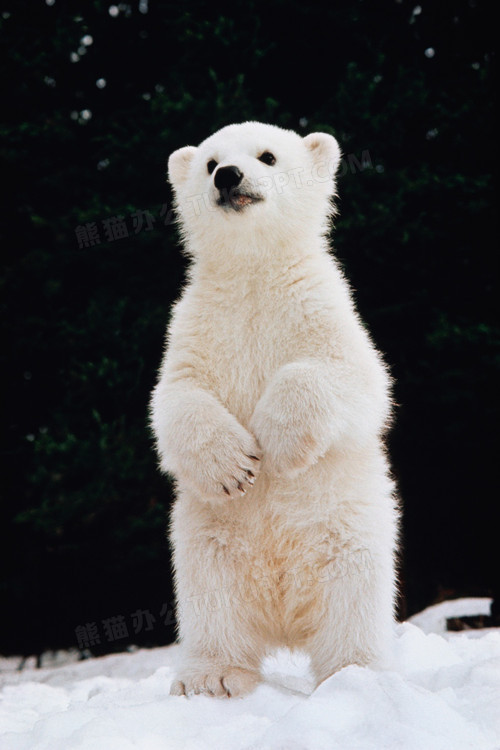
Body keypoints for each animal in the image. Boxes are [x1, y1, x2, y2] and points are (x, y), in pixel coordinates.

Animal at [150, 120, 400, 704]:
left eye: (267, 155)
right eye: (210, 161)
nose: (228, 176)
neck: (254, 275)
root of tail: (286, 622)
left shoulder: (322, 312)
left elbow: (357, 380)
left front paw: (278, 444)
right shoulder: (197, 326)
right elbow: (176, 399)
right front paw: (235, 466)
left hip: (350, 537)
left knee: (353, 603)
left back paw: (353, 677)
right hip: (207, 544)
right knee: (214, 604)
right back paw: (212, 677)